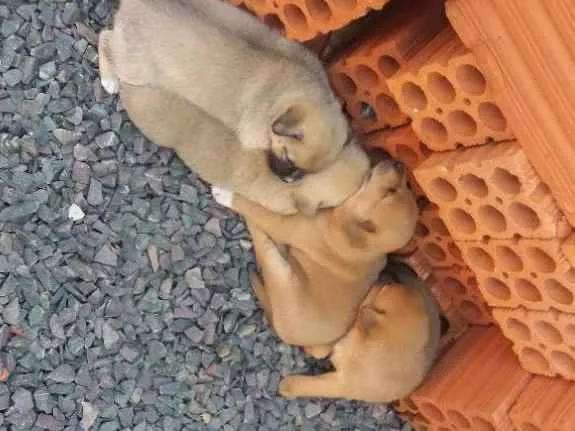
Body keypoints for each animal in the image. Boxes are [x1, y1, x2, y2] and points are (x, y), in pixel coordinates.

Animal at [212, 161, 418, 348]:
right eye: (400, 188)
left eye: (389, 192)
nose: (400, 164)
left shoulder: (286, 225)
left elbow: (256, 210)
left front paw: (226, 194)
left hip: (280, 273)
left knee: (264, 246)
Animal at [282, 264, 444, 404]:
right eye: (390, 285)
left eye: (384, 288)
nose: (385, 270)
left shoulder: (341, 384)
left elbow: (312, 384)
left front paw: (288, 386)